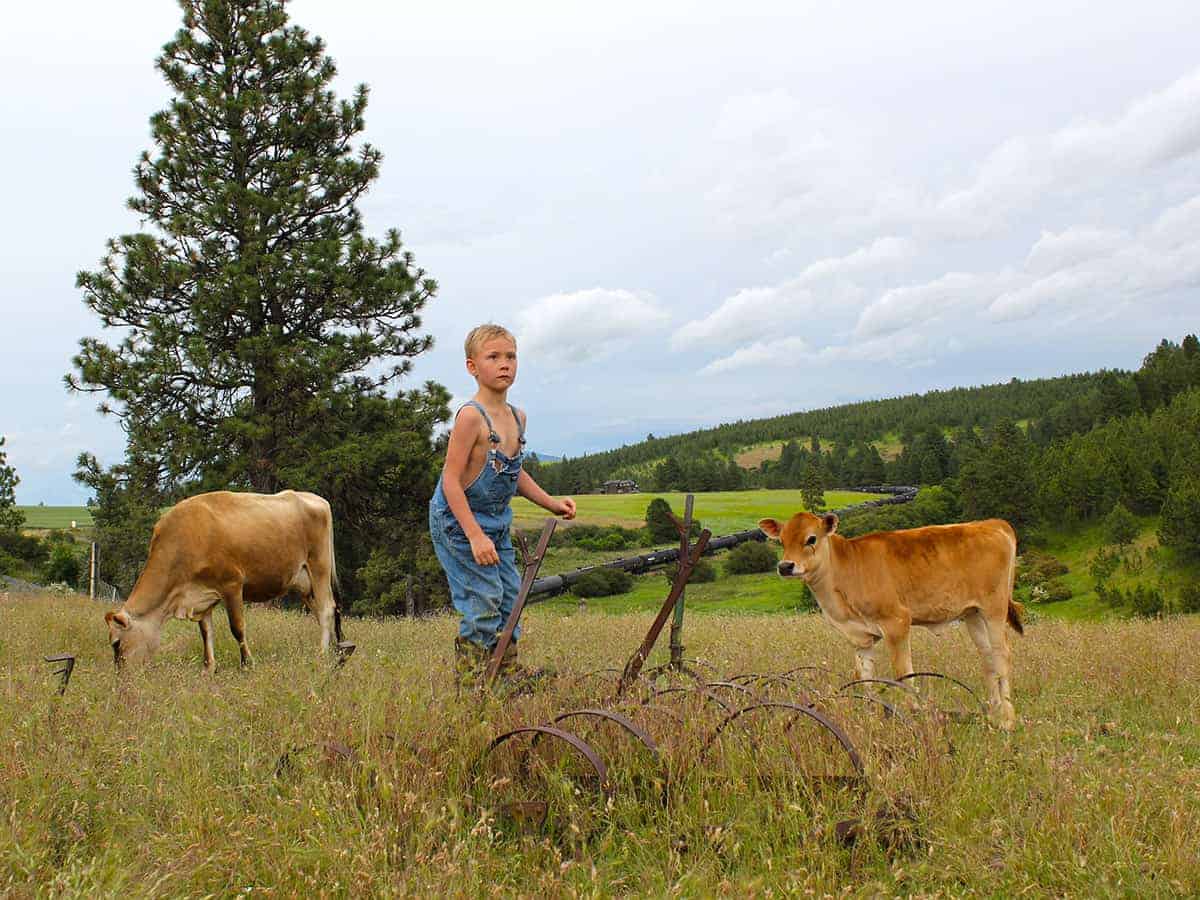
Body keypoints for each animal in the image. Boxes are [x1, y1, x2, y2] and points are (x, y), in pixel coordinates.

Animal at [103, 489, 343, 672]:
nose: (122, 676)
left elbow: (237, 628)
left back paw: (322, 654)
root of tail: (315, 498)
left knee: (326, 610)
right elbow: (206, 632)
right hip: (304, 583)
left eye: (116, 643)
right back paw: (337, 650)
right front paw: (209, 668)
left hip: (319, 567)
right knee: (324, 613)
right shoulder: (202, 595)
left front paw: (247, 664)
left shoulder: (232, 584)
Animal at [758, 511, 1022, 729]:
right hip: (973, 614)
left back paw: (1008, 719)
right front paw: (870, 719)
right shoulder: (860, 638)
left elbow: (903, 672)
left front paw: (914, 714)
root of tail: (991, 523)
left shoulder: (897, 622)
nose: (785, 566)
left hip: (994, 608)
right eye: (781, 541)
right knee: (988, 658)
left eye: (811, 539)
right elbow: (864, 678)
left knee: (1002, 654)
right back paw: (993, 715)